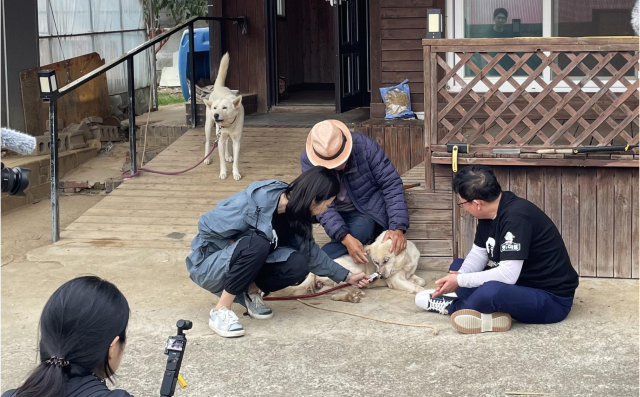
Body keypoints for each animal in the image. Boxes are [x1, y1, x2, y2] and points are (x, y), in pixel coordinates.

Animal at [270, 229, 424, 300]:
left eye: (386, 260)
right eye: (376, 262)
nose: (380, 277)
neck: (404, 262)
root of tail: (312, 271)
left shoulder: (408, 272)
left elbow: (420, 281)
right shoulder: (395, 280)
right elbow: (416, 286)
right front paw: (421, 291)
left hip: (327, 285)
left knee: (332, 292)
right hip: (353, 270)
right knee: (343, 285)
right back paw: (355, 293)